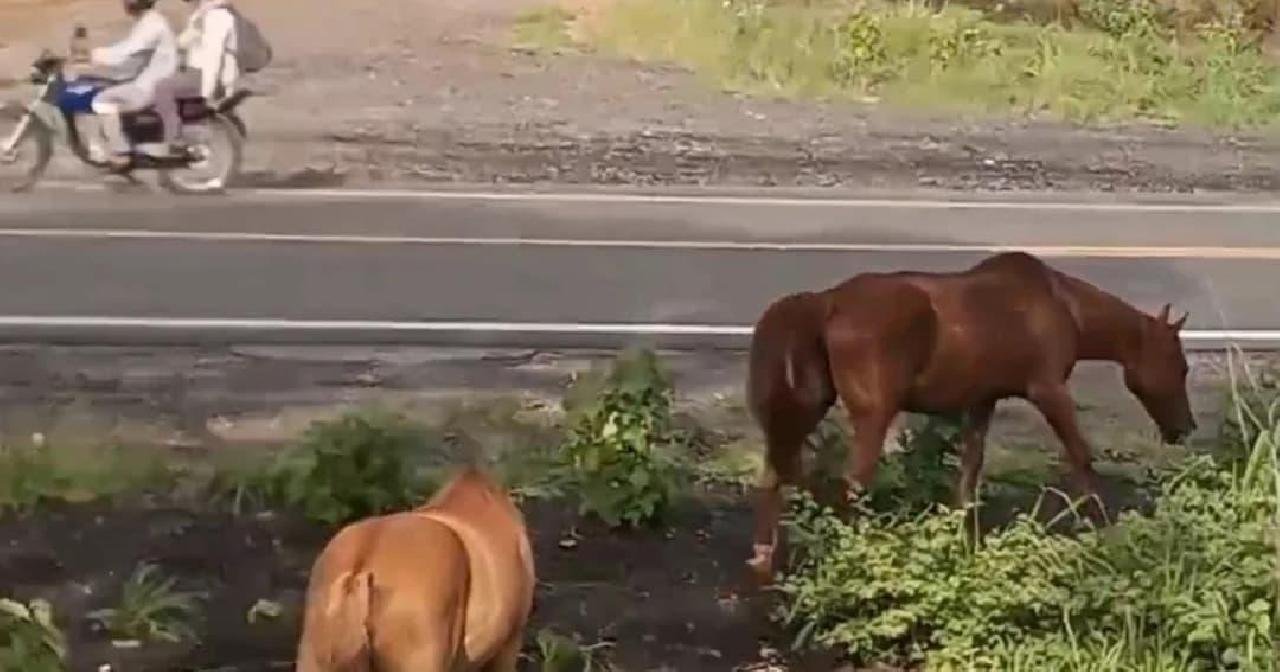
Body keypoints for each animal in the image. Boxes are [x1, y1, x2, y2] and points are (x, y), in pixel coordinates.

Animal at [747, 249, 1192, 581]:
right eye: (1179, 364)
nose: (1185, 428)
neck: (1063, 306)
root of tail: (826, 302)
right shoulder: (1047, 390)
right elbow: (1081, 455)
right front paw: (1104, 525)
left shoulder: (982, 401)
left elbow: (969, 471)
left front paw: (962, 538)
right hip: (872, 415)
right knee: (850, 484)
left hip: (806, 407)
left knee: (776, 474)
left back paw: (764, 555)